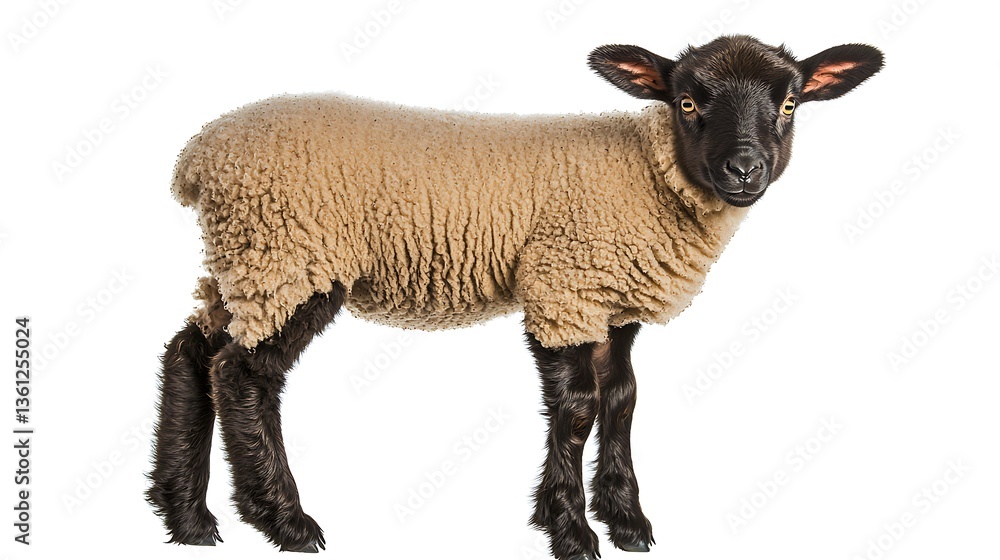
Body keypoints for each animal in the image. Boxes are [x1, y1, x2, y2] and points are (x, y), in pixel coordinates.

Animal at [147, 34, 883, 559]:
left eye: (789, 104)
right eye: (687, 102)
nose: (744, 170)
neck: (647, 176)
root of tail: (197, 159)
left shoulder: (612, 301)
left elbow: (622, 400)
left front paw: (626, 521)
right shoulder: (563, 287)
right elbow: (578, 408)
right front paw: (570, 530)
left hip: (245, 260)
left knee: (190, 352)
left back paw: (187, 517)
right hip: (291, 256)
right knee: (242, 373)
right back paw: (284, 520)